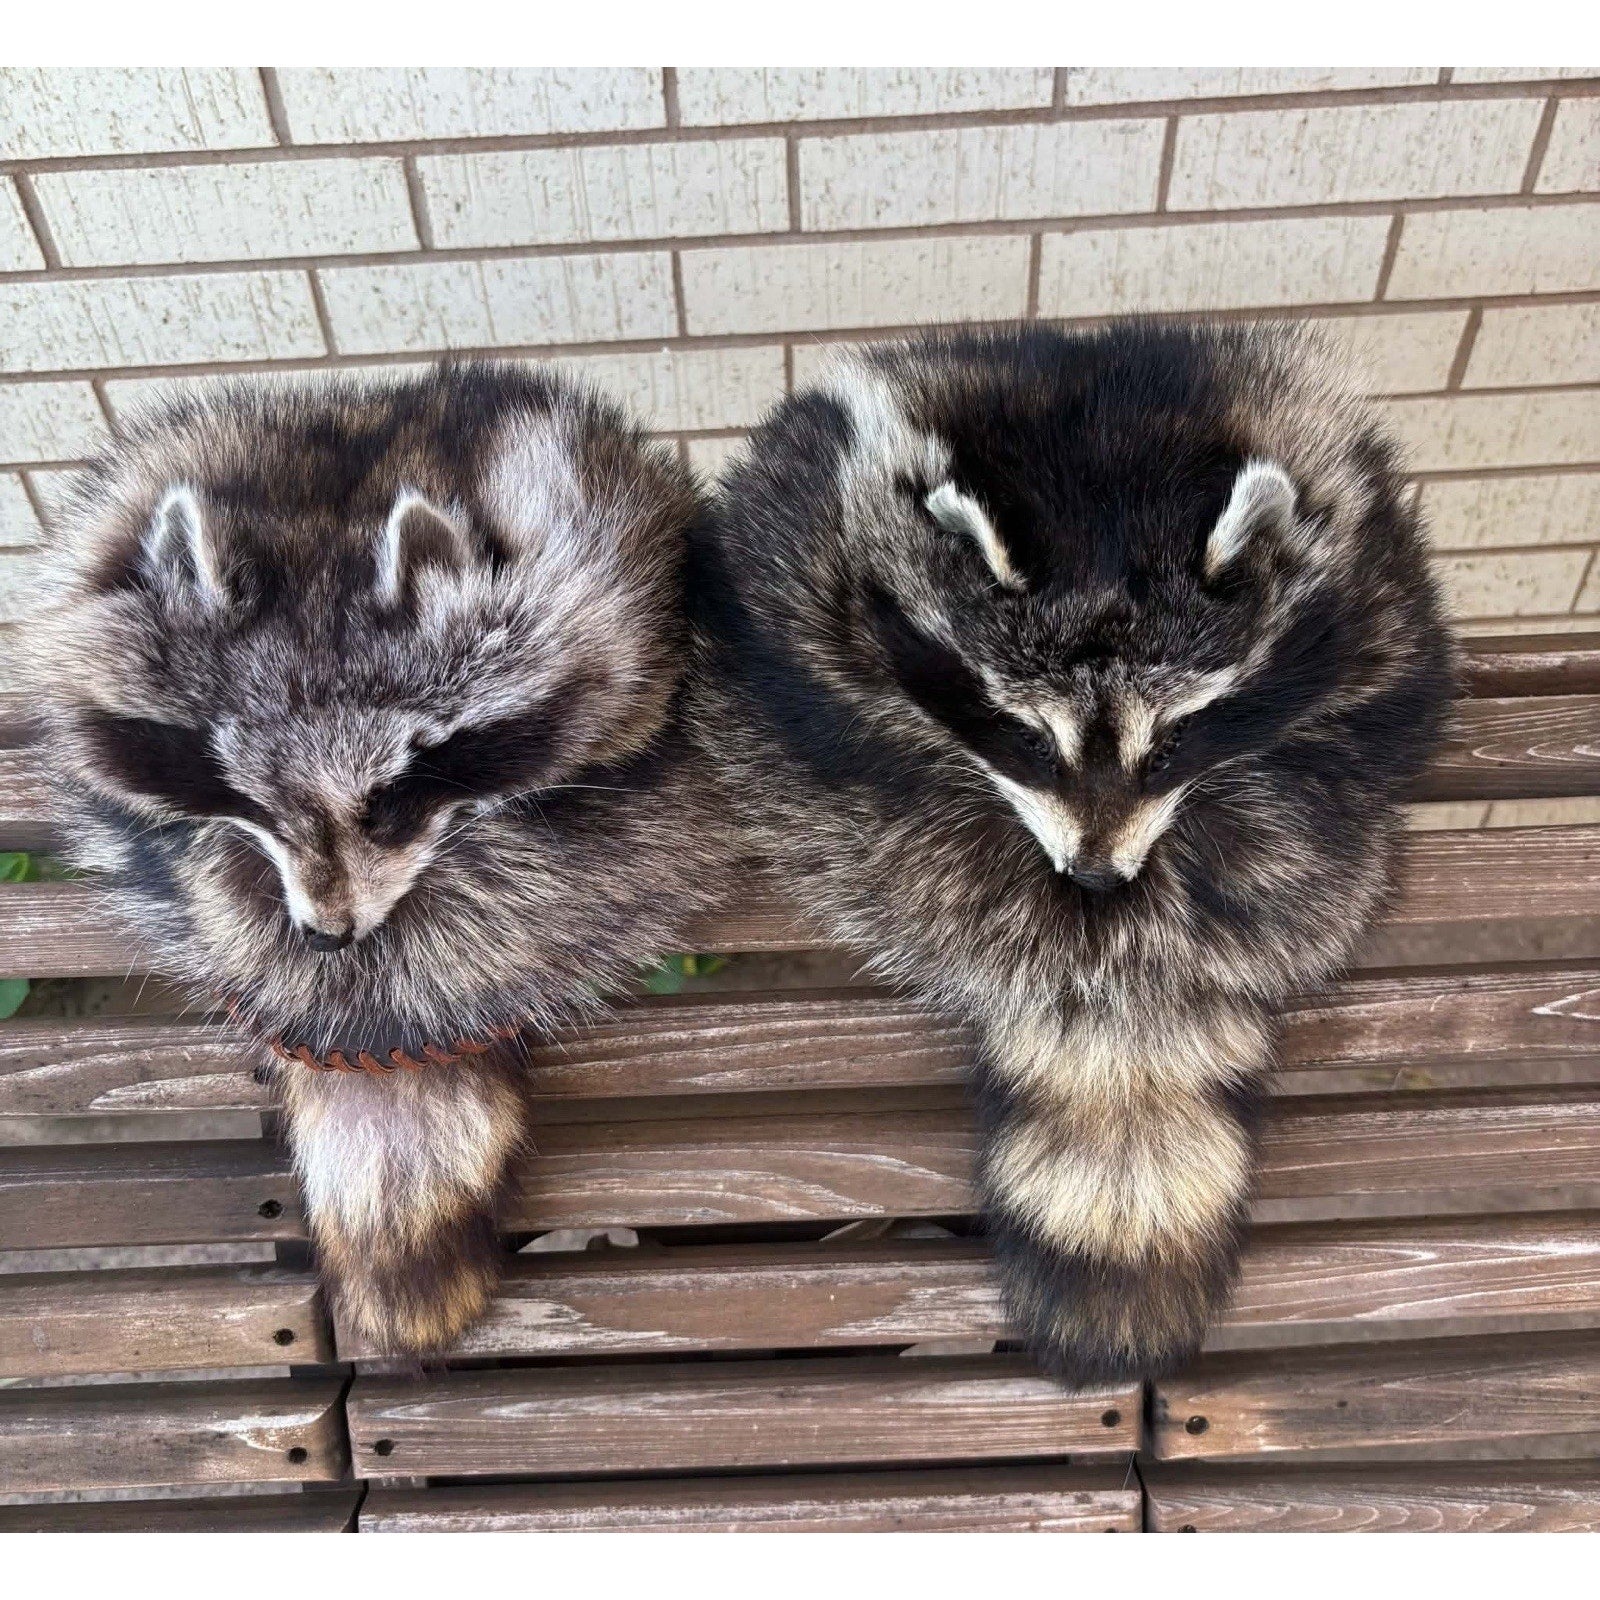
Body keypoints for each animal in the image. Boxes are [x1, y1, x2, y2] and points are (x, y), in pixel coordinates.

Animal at [689, 322, 1455, 1384]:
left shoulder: (1358, 578)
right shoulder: (808, 589)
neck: (1105, 489)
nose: (1094, 876)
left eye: (1172, 740)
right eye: (1024, 735)